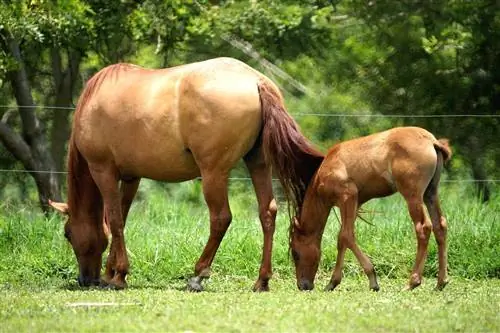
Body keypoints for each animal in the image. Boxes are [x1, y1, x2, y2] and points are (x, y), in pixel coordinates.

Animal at [48, 57, 324, 290]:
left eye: (67, 234)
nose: (85, 279)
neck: (95, 100)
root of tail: (256, 81)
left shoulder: (103, 171)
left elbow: (114, 220)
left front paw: (118, 275)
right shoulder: (131, 177)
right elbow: (120, 221)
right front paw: (113, 273)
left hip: (213, 173)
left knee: (221, 218)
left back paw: (198, 275)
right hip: (258, 164)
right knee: (267, 212)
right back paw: (261, 280)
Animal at [288, 126, 452, 290]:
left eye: (295, 253)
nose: (303, 285)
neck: (327, 169)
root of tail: (432, 141)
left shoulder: (347, 197)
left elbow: (346, 236)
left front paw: (372, 279)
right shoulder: (354, 204)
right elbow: (342, 239)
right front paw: (332, 282)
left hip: (413, 196)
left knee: (423, 228)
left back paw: (412, 282)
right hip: (430, 193)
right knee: (440, 225)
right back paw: (441, 282)